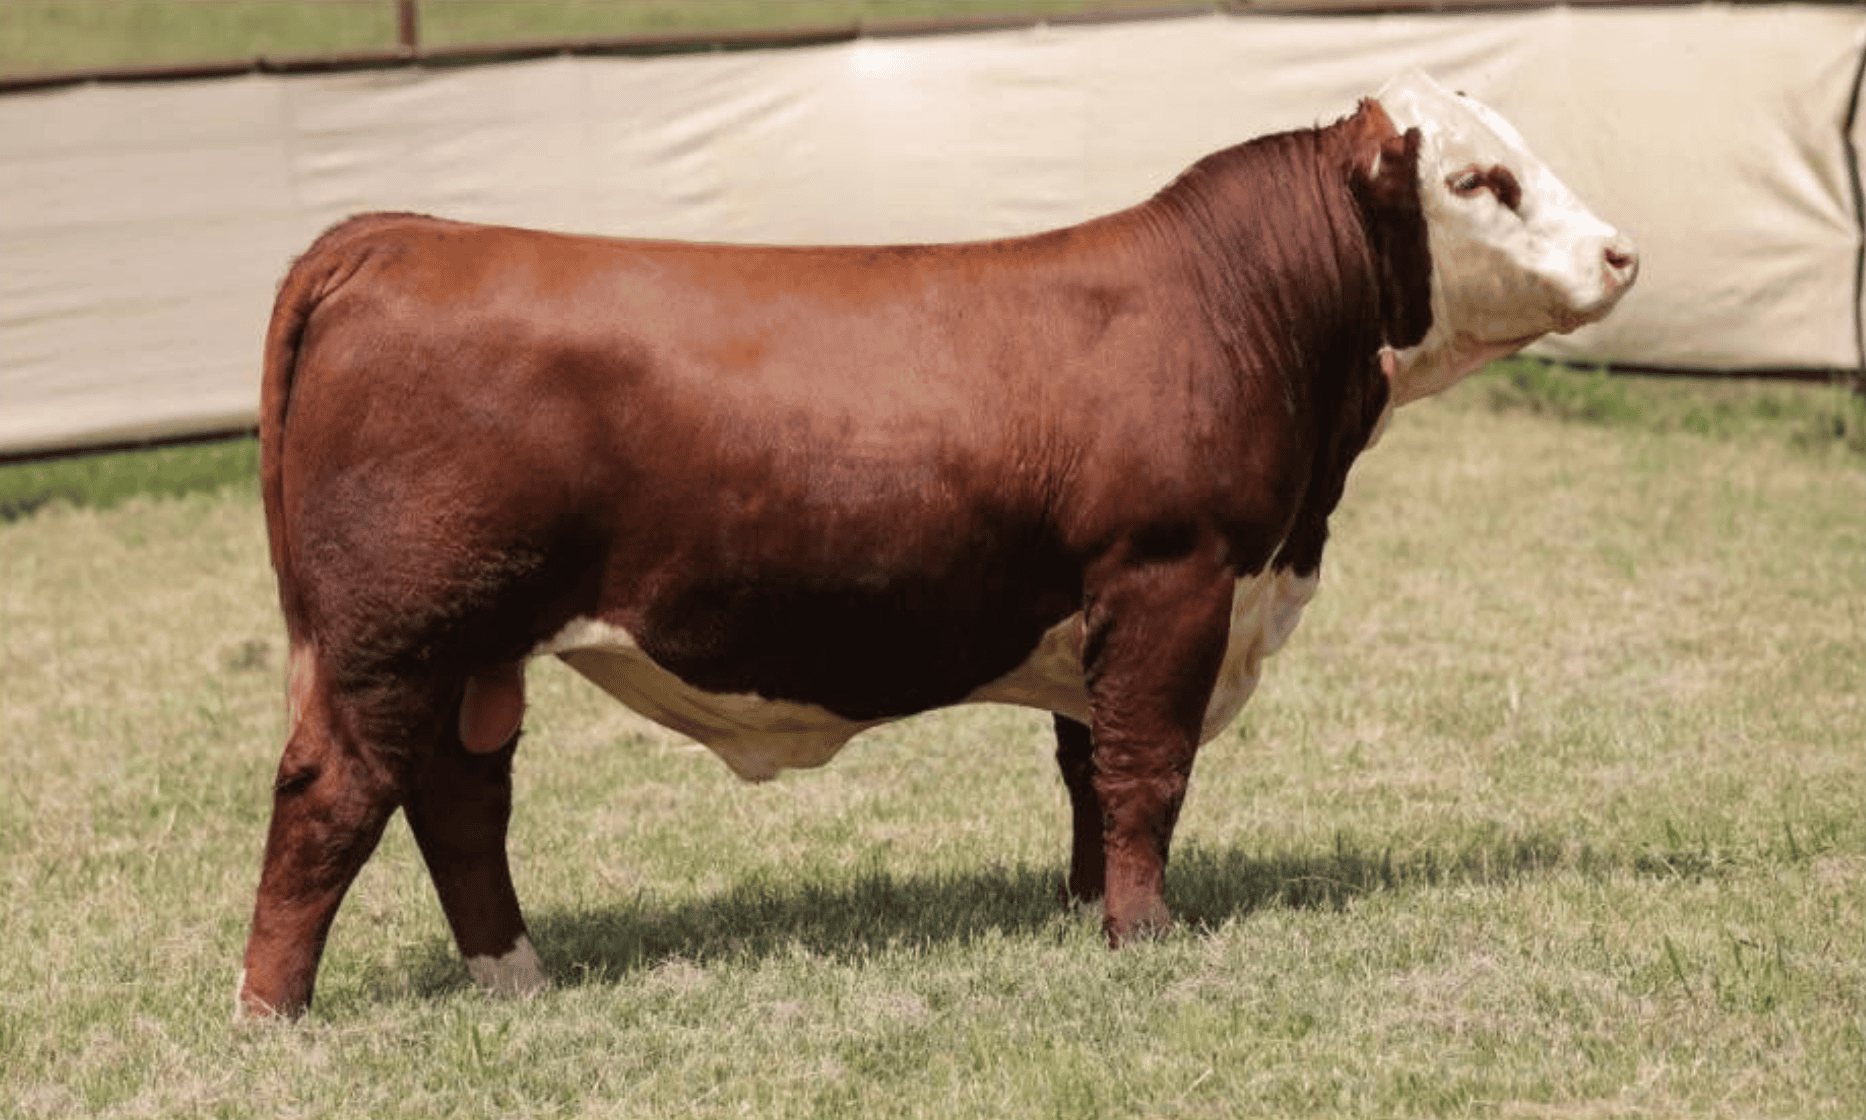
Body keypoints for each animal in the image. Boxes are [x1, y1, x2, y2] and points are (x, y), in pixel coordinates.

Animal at [236, 69, 1636, 1017]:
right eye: (1478, 180)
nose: (1623, 251)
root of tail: (401, 232)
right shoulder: (1173, 576)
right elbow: (1149, 771)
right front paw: (1148, 939)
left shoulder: (1104, 612)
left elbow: (1091, 772)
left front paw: (1087, 912)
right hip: (398, 635)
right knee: (333, 793)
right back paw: (274, 1015)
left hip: (474, 650)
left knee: (459, 800)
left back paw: (517, 977)